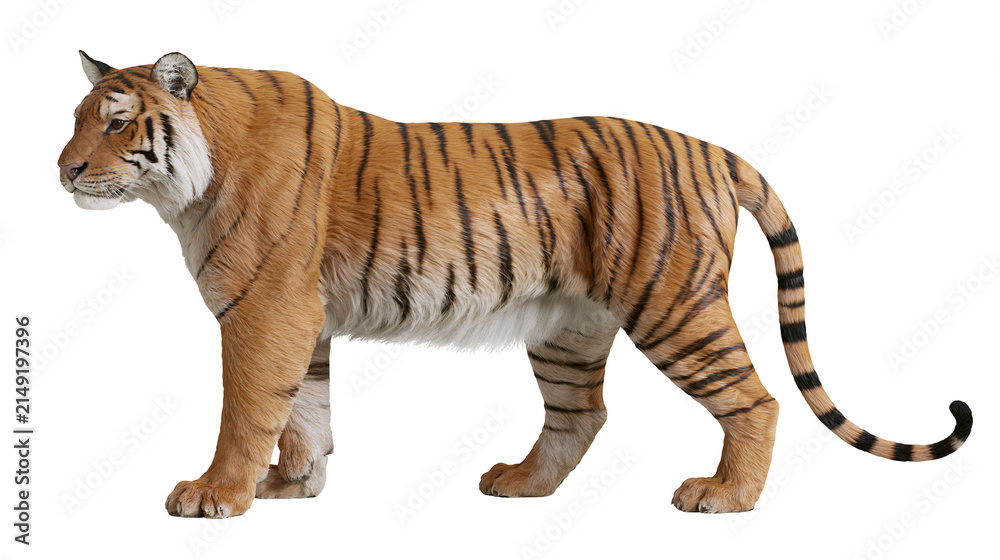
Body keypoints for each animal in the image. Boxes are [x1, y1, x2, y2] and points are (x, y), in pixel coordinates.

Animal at [57, 51, 973, 518]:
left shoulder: (266, 308)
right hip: (569, 327)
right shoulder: (302, 318)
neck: (188, 180)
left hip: (675, 307)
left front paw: (216, 495)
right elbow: (305, 412)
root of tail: (712, 149)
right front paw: (294, 486)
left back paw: (725, 497)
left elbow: (249, 409)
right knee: (583, 415)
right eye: (74, 119)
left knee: (757, 400)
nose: (61, 169)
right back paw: (521, 486)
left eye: (116, 123)